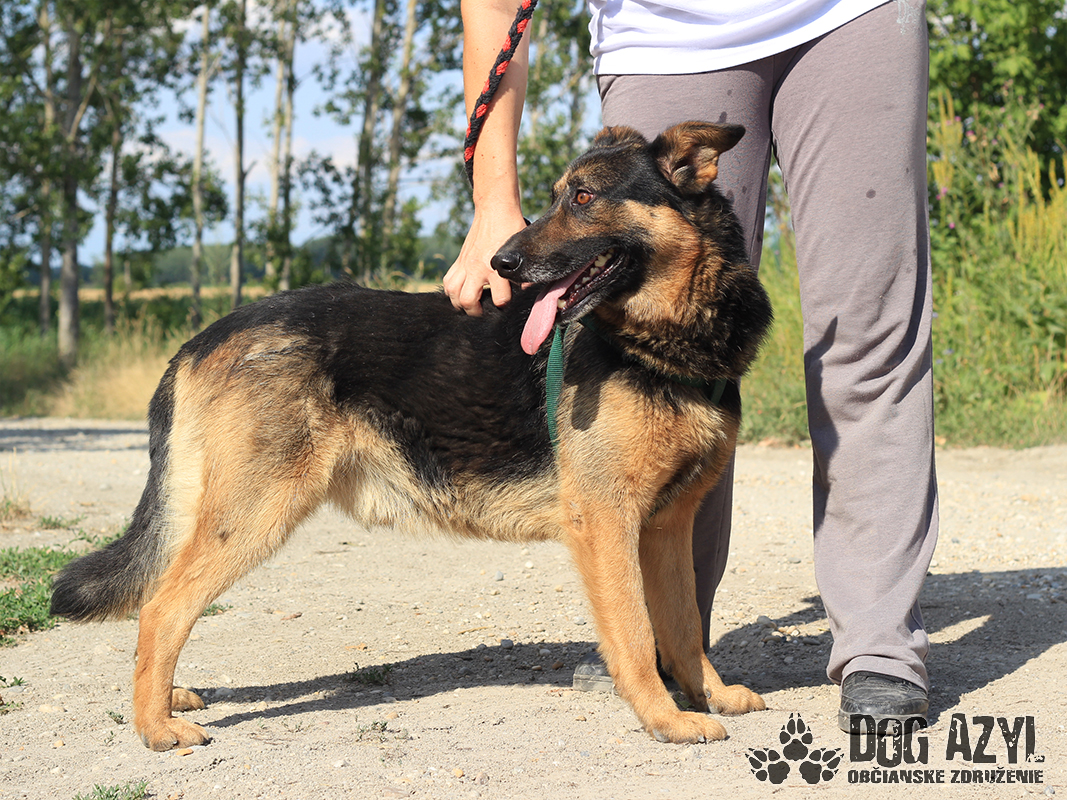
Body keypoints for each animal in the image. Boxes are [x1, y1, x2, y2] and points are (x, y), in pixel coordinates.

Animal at [51, 121, 773, 751]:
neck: (667, 342)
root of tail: (206, 336)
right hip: (254, 515)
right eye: (557, 196)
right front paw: (664, 718)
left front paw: (709, 695)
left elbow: (683, 625)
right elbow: (635, 632)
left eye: (584, 197)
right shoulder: (606, 521)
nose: (502, 263)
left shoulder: (667, 526)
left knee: (161, 601)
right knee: (160, 608)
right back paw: (155, 726)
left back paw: (166, 697)